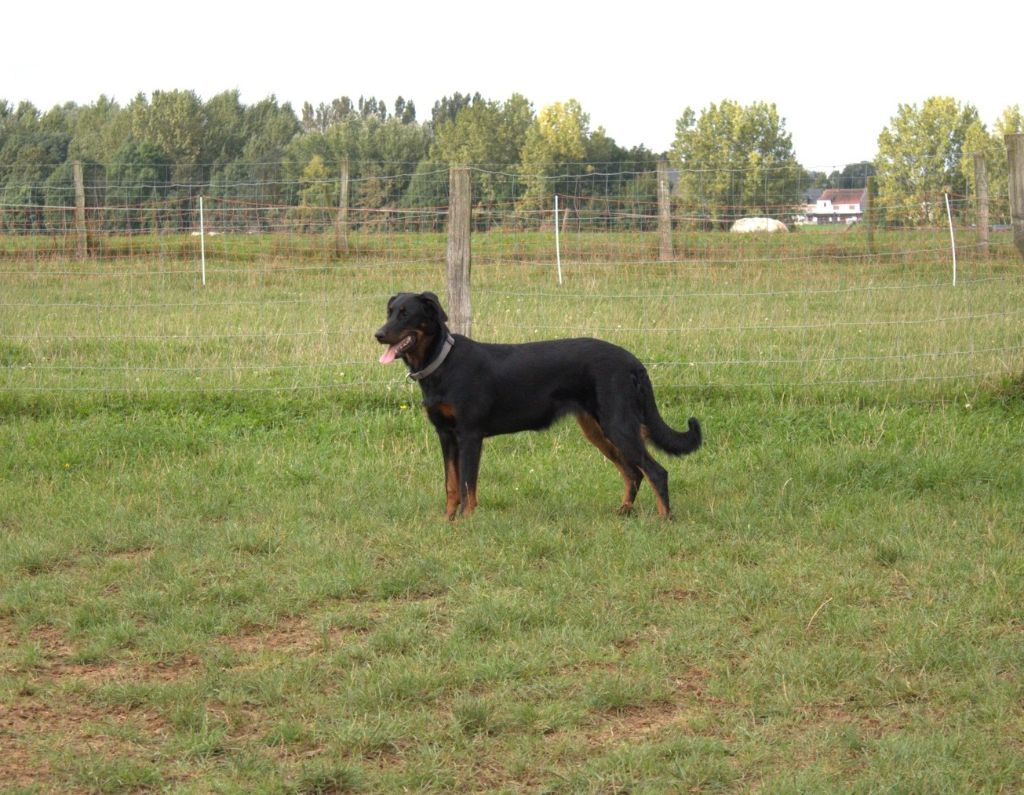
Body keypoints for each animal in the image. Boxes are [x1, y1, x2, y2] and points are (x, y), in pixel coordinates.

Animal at [378, 290, 704, 516]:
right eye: (390, 311)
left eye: (406, 314)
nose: (378, 334)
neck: (442, 363)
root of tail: (634, 362)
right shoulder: (446, 436)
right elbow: (451, 486)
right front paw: (449, 522)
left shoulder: (470, 436)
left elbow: (469, 485)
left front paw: (467, 521)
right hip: (598, 430)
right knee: (633, 472)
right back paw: (623, 512)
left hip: (618, 424)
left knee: (656, 472)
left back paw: (664, 519)